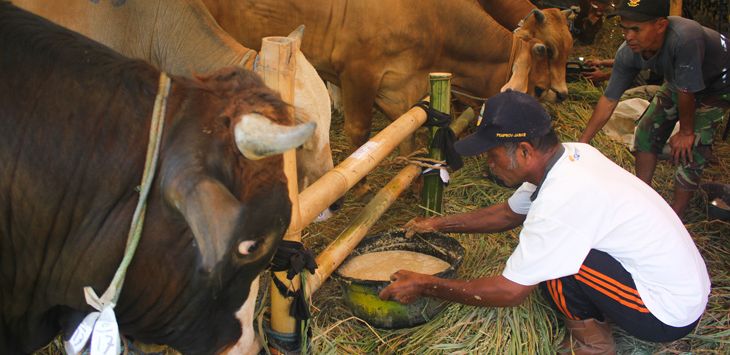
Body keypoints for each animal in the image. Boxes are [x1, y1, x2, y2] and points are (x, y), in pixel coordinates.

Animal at [202, 0, 572, 153]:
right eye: (534, 92)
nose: (562, 94)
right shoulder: (358, 72)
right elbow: (360, 131)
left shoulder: (400, 85)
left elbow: (407, 132)